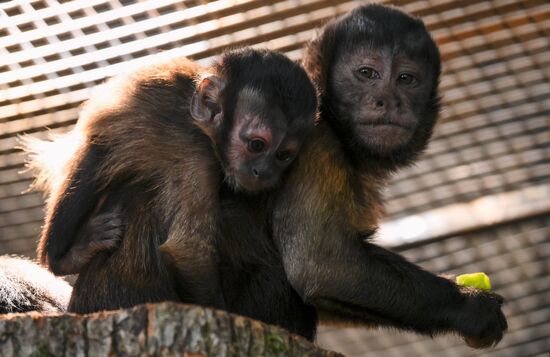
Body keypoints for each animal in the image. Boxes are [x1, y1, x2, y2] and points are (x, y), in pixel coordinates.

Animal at [22, 48, 320, 312]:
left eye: (282, 156)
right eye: (257, 145)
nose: (264, 172)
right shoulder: (199, 155)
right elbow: (188, 252)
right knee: (96, 156)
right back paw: (63, 259)